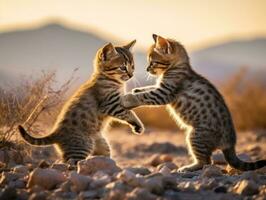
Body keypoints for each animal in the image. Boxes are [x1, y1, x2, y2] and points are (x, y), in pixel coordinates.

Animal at [121, 34, 264, 172]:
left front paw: (128, 98)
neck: (177, 67)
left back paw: (188, 168)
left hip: (195, 135)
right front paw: (135, 90)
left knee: (206, 162)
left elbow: (144, 96)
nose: (147, 69)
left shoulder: (164, 93)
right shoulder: (160, 87)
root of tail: (230, 143)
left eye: (153, 62)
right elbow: (147, 89)